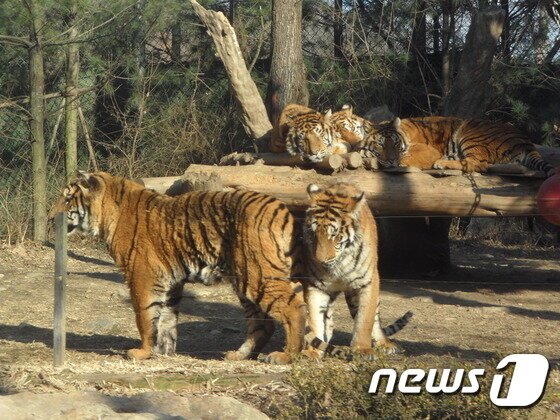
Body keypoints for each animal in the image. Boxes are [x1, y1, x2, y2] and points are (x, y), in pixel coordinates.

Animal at [302, 182, 412, 360]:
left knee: (375, 320)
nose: (320, 260)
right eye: (313, 233)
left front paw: (362, 350)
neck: (339, 264)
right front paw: (312, 351)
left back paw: (385, 344)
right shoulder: (315, 286)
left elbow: (365, 320)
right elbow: (314, 318)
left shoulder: (368, 282)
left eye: (334, 235)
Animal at [358, 115, 556, 175]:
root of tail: (526, 141)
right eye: (381, 144)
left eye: (395, 143)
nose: (392, 160)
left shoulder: (427, 151)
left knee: (478, 164)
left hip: (470, 133)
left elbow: (408, 158)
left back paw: (442, 163)